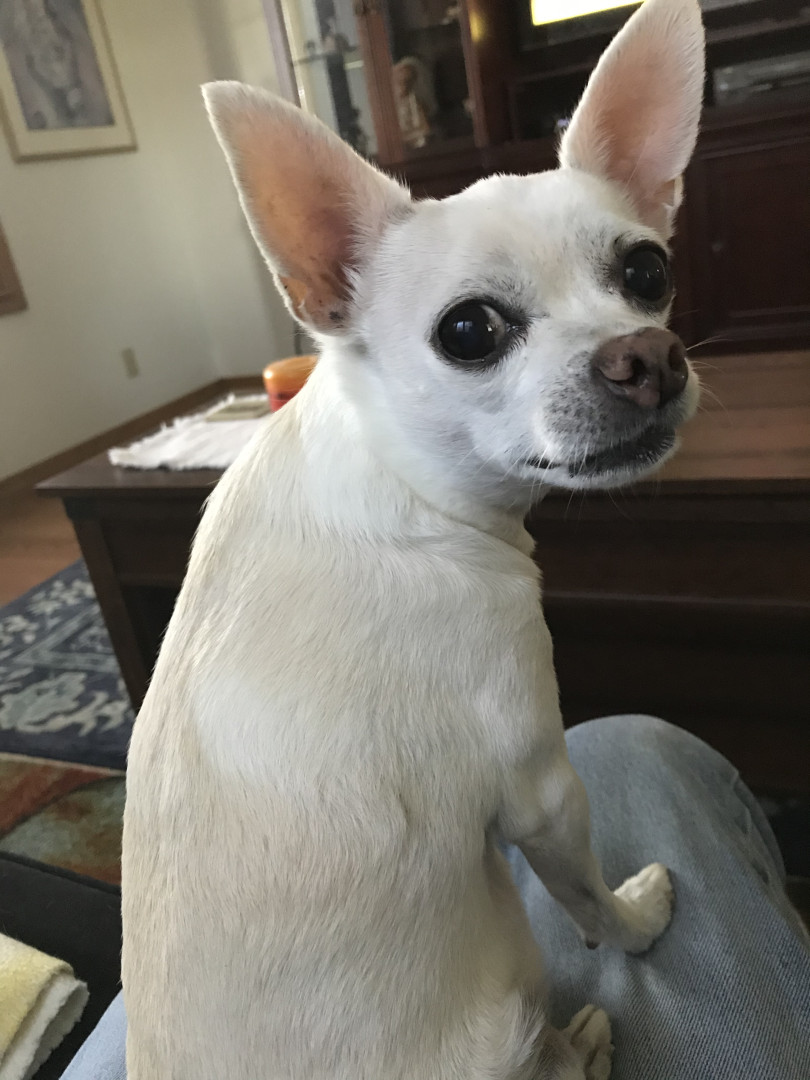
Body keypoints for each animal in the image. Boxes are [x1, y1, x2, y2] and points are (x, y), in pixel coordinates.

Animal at [121, 0, 705, 1075]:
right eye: (469, 332)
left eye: (649, 271)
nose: (647, 354)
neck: (401, 483)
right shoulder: (543, 788)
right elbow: (591, 898)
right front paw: (640, 923)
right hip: (507, 1018)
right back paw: (587, 1040)